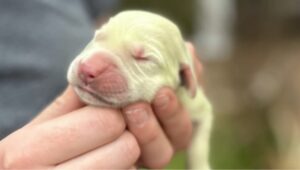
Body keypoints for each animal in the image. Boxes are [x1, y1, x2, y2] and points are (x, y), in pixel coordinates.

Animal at [68, 10, 213, 170]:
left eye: (144, 58)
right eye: (98, 36)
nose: (88, 69)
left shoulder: (196, 105)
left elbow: (199, 145)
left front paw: (200, 166)